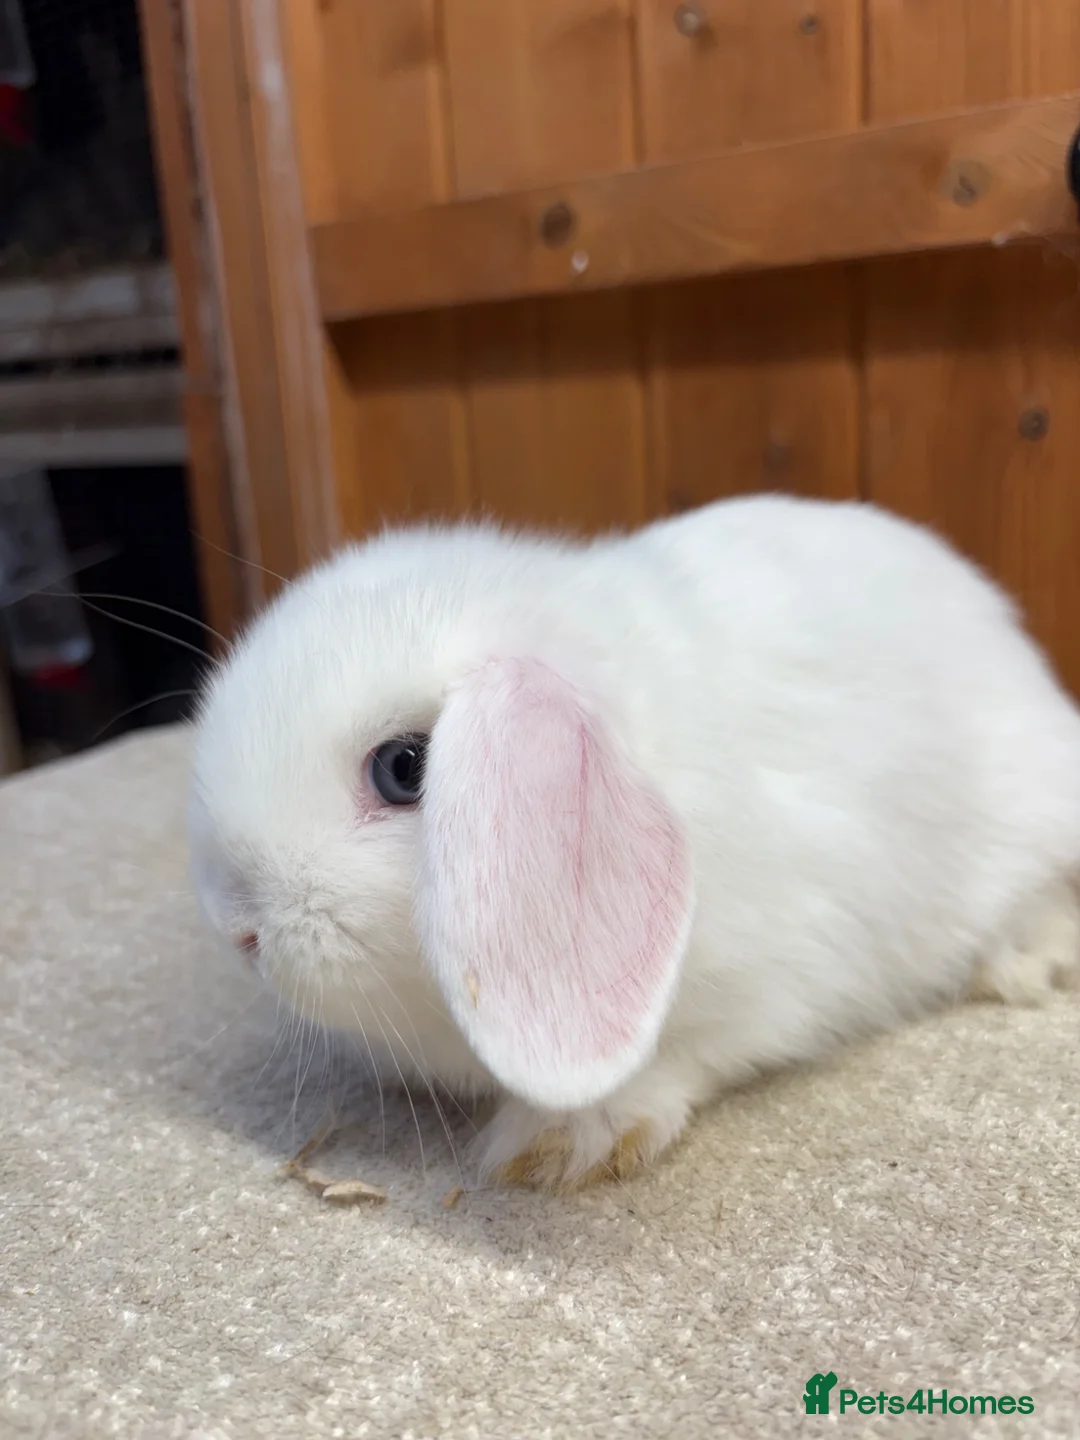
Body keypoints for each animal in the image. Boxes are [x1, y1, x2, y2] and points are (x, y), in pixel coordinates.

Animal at [189, 494, 1080, 1191]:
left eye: (405, 769)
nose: (238, 931)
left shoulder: (770, 984)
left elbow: (681, 1057)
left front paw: (566, 1147)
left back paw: (1025, 963)